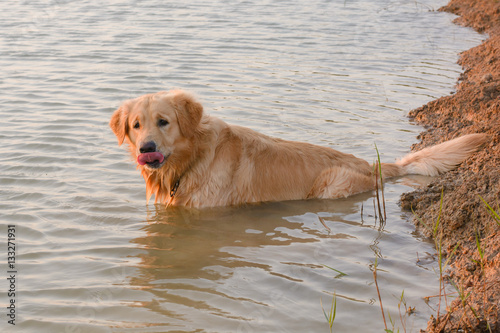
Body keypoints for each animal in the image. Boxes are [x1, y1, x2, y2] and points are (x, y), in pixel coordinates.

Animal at [110, 89, 488, 206]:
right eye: (136, 125)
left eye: (163, 121)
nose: (146, 148)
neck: (193, 158)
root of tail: (371, 164)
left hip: (331, 186)